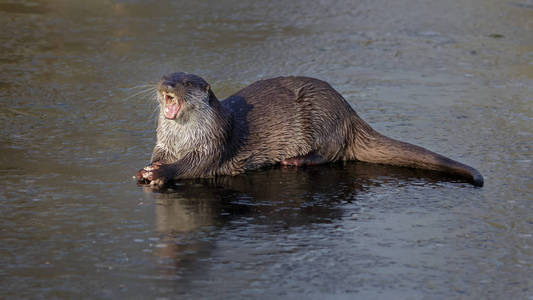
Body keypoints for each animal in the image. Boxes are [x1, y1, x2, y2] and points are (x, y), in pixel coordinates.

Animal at [136, 72, 482, 188]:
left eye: (186, 82)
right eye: (166, 75)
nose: (166, 86)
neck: (183, 139)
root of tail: (349, 112)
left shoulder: (213, 144)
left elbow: (195, 165)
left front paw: (161, 173)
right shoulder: (163, 143)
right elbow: (157, 154)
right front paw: (147, 167)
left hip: (321, 116)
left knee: (332, 153)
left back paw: (296, 160)